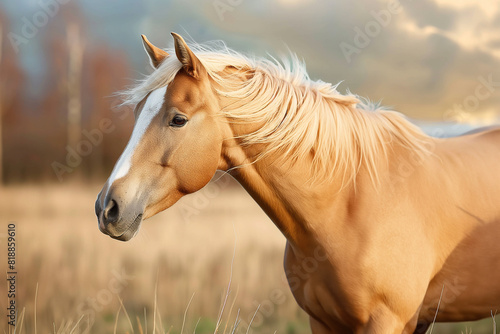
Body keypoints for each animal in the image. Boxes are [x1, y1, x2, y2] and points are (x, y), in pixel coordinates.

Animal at [95, 33, 500, 332]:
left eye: (177, 119)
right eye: (137, 112)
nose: (107, 208)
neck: (348, 204)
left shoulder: (387, 322)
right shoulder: (322, 321)